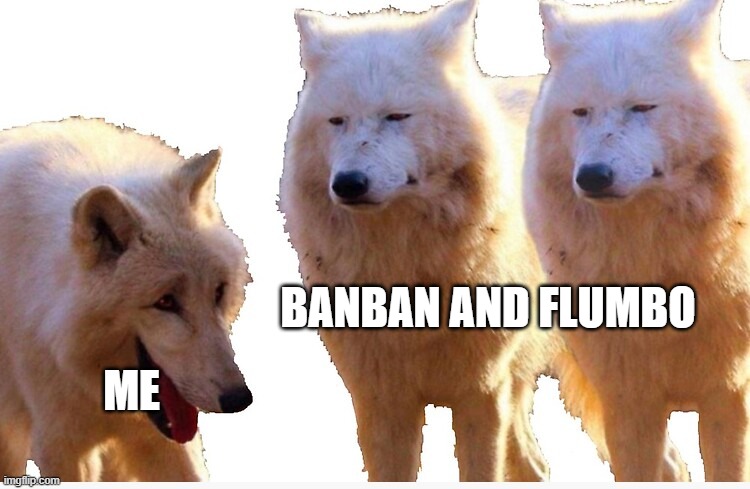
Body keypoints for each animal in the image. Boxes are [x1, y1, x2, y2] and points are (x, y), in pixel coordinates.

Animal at [280, 0, 554, 481]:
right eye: (337, 121)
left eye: (396, 116)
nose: (348, 184)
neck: (407, 267)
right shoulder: (380, 400)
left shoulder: (482, 392)